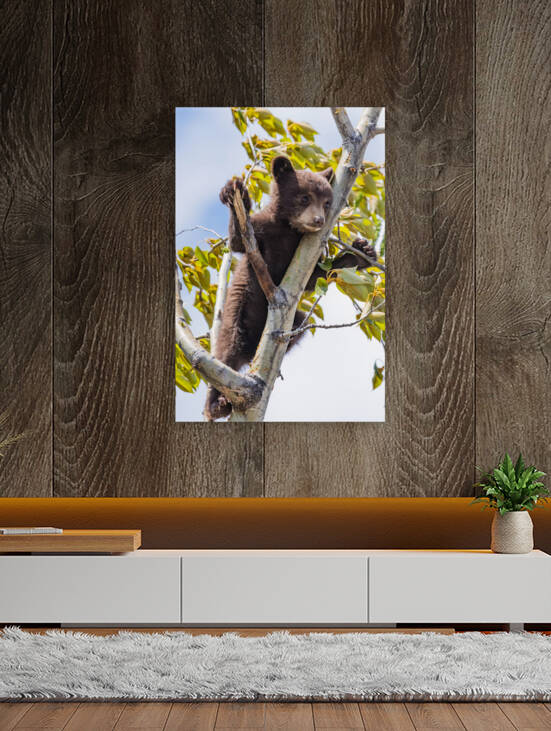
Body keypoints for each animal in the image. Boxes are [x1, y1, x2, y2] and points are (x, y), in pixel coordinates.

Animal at [204, 155, 376, 421]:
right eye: (304, 197)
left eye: (327, 203)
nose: (318, 220)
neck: (289, 230)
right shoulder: (265, 230)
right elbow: (239, 240)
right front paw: (235, 193)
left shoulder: (306, 251)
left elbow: (316, 276)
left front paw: (362, 252)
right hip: (236, 314)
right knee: (226, 355)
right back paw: (217, 405)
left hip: (293, 322)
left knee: (299, 325)